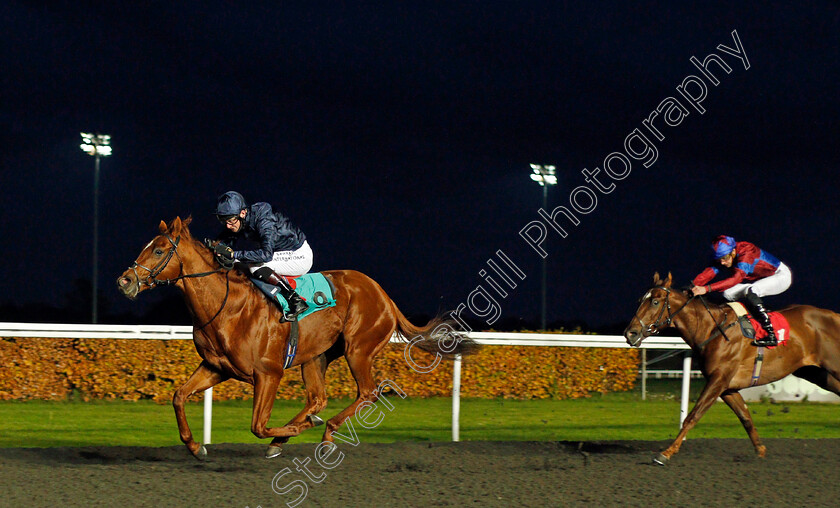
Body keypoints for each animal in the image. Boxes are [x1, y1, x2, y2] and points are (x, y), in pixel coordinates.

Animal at [119, 216, 476, 458]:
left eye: (159, 250)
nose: (124, 281)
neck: (226, 306)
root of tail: (384, 295)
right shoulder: (216, 367)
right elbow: (179, 396)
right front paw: (195, 446)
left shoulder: (268, 373)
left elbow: (257, 425)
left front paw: (294, 430)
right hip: (316, 356)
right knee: (318, 398)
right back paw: (293, 436)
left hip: (358, 349)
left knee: (368, 393)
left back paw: (324, 429)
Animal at [624, 274, 840, 464]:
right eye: (640, 300)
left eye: (655, 302)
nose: (630, 333)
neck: (712, 329)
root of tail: (834, 315)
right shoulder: (727, 387)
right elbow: (745, 417)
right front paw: (760, 451)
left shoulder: (718, 380)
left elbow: (692, 416)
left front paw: (666, 453)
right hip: (817, 373)